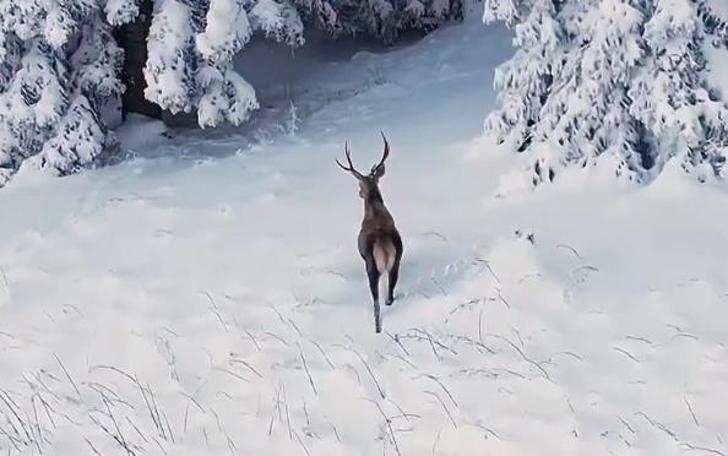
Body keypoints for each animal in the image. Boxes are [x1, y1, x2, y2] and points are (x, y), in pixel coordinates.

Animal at [336, 131, 404, 332]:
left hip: (371, 266)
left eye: (359, 185)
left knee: (376, 303)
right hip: (397, 260)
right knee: (389, 295)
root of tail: (384, 246)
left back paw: (377, 329)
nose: (359, 193)